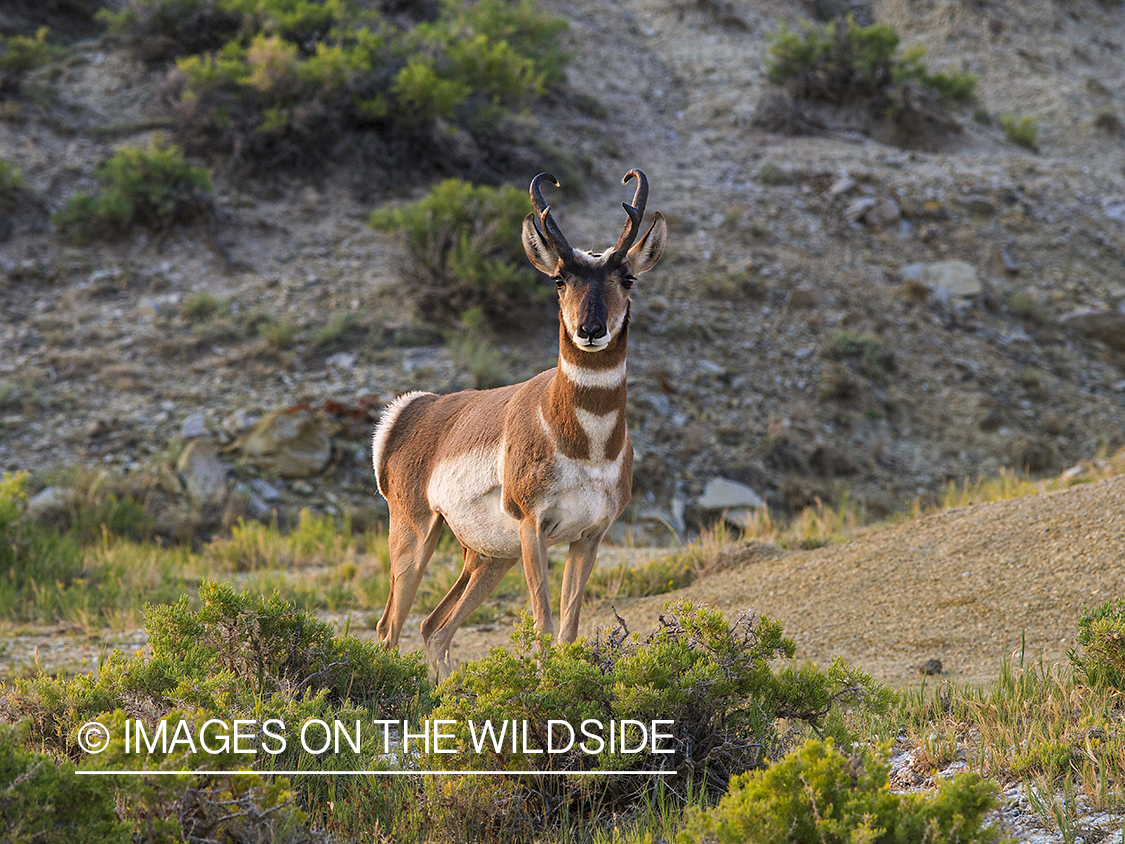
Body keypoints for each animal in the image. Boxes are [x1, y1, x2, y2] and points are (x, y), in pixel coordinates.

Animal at [373, 168, 661, 679]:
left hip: (488, 557)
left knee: (434, 626)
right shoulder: (534, 528)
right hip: (416, 534)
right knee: (391, 627)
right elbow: (543, 624)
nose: (590, 330)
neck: (586, 445)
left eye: (627, 277)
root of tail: (415, 410)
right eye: (560, 279)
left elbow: (568, 629)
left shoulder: (589, 537)